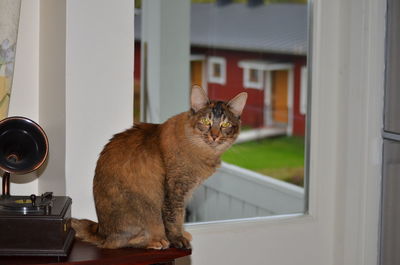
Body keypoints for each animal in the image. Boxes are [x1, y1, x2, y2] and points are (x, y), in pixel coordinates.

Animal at [71, 85, 247, 249]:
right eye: (206, 122)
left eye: (225, 124)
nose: (215, 136)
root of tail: (101, 232)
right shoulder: (175, 190)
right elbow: (174, 218)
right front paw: (178, 238)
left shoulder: (184, 192)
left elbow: (180, 217)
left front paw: (183, 233)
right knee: (124, 242)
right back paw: (157, 241)